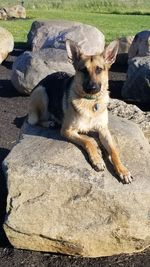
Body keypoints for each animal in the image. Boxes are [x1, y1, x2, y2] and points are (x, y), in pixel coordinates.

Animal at [28, 39, 132, 184]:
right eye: (83, 70)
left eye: (99, 69)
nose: (92, 87)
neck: (91, 102)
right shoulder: (67, 130)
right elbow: (88, 141)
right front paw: (97, 159)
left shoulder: (103, 129)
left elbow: (113, 150)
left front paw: (122, 170)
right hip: (41, 92)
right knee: (35, 119)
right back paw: (49, 123)